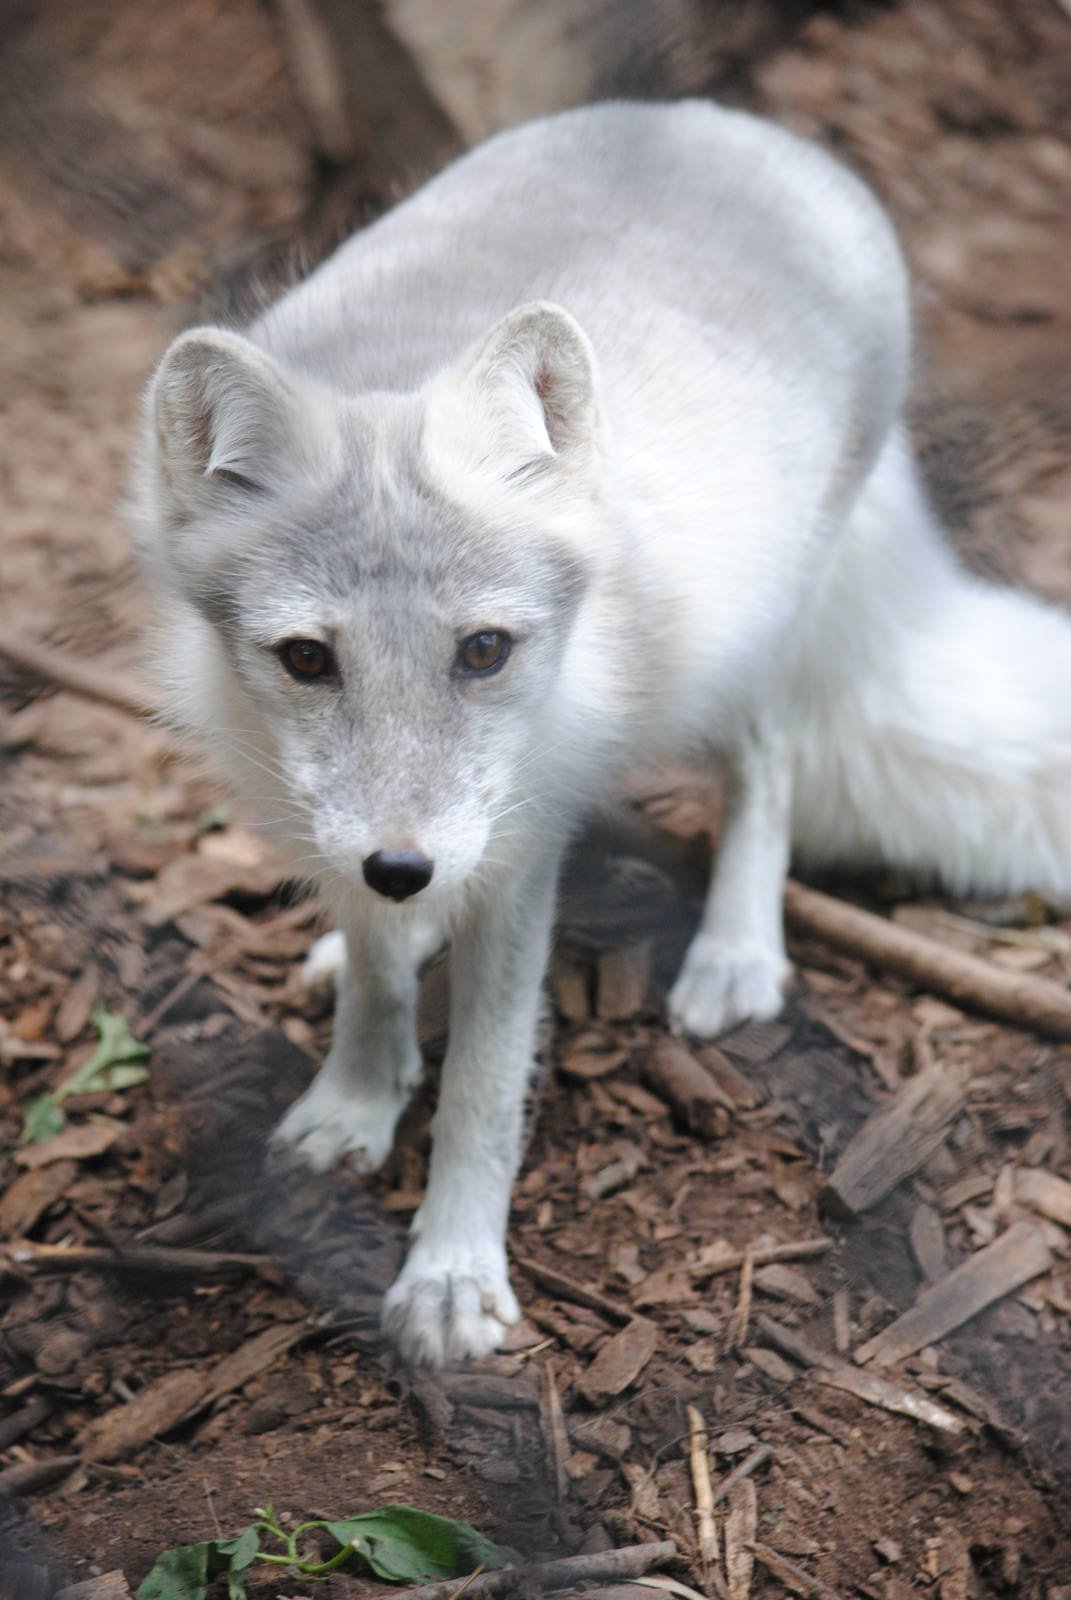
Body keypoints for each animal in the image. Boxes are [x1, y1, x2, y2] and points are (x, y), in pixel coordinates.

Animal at [133, 100, 1071, 1366]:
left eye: (485, 650)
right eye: (307, 660)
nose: (401, 868)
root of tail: (732, 124)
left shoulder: (518, 857)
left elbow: (484, 1089)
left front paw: (450, 1276)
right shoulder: (354, 826)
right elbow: (376, 980)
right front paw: (357, 1096)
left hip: (755, 643)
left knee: (769, 766)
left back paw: (735, 952)